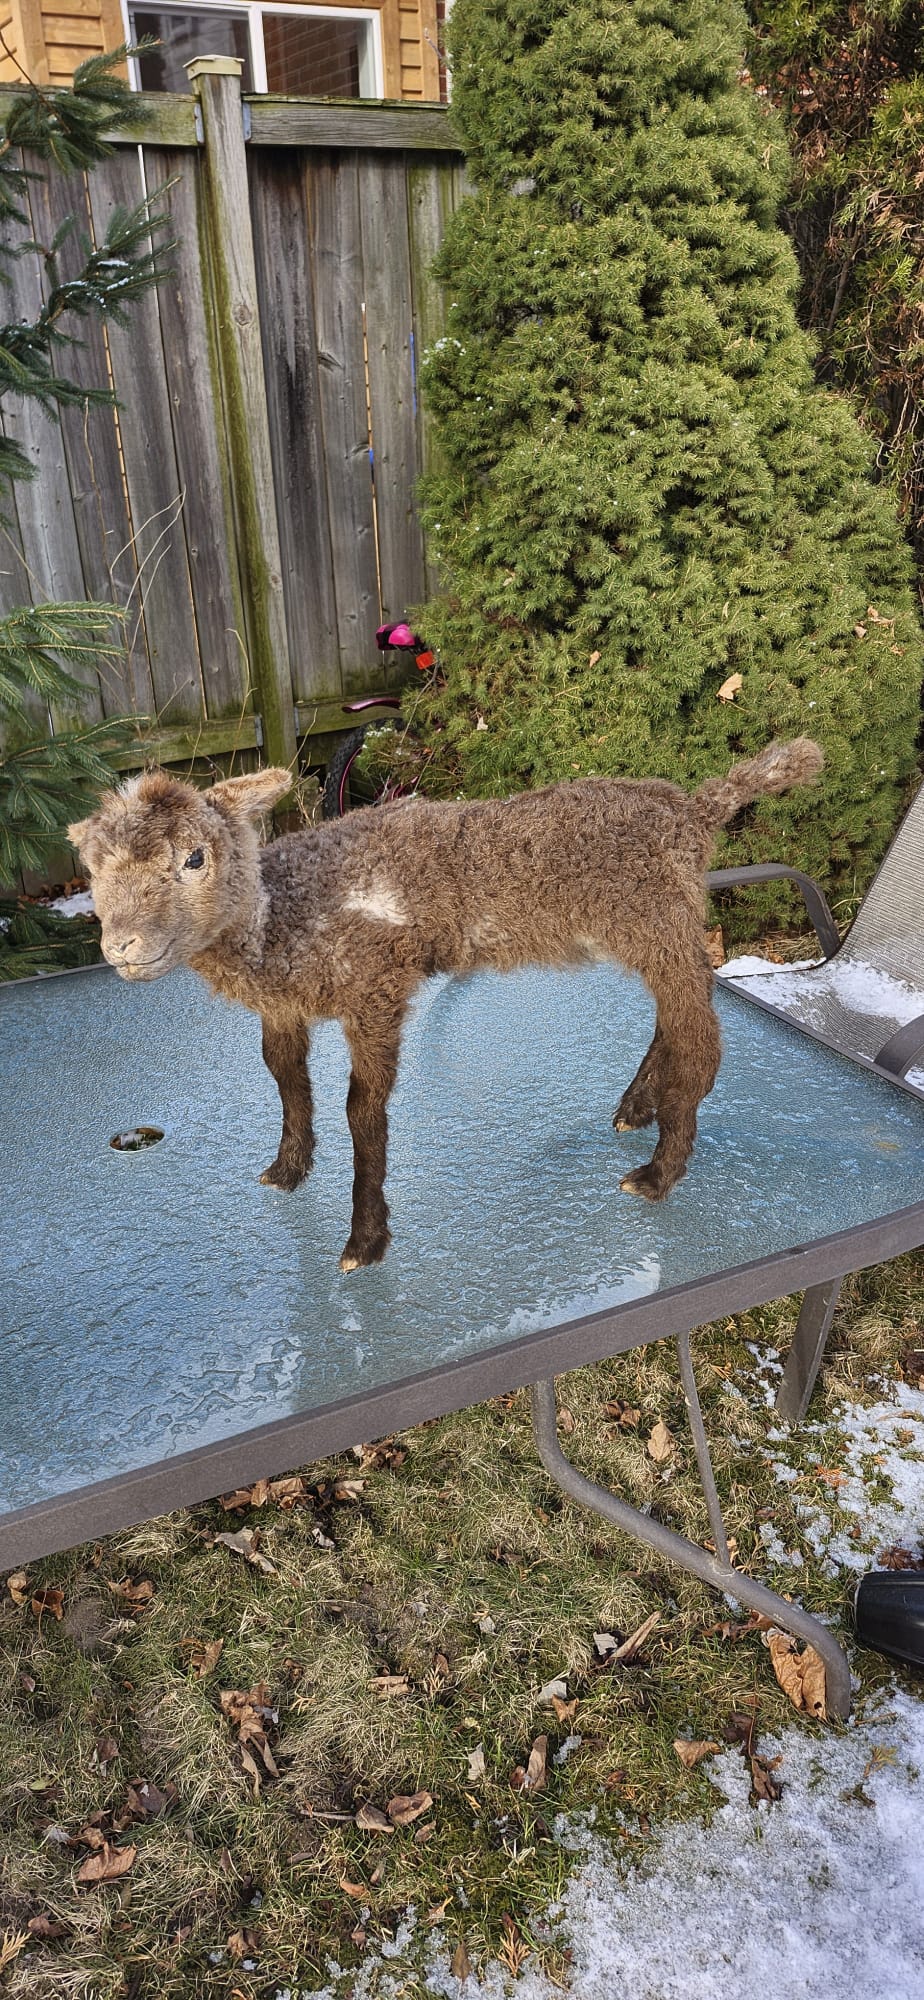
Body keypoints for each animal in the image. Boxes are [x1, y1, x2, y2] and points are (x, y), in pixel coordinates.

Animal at [68, 738, 823, 1271]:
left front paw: (364, 1240)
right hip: (654, 930)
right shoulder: (284, 1006)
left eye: (195, 858)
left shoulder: (375, 988)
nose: (122, 946)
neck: (285, 912)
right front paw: (287, 1170)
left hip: (660, 920)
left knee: (700, 1038)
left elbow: (362, 1110)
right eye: (92, 868)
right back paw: (637, 1108)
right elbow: (283, 1077)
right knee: (673, 1019)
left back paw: (658, 1172)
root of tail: (694, 810)